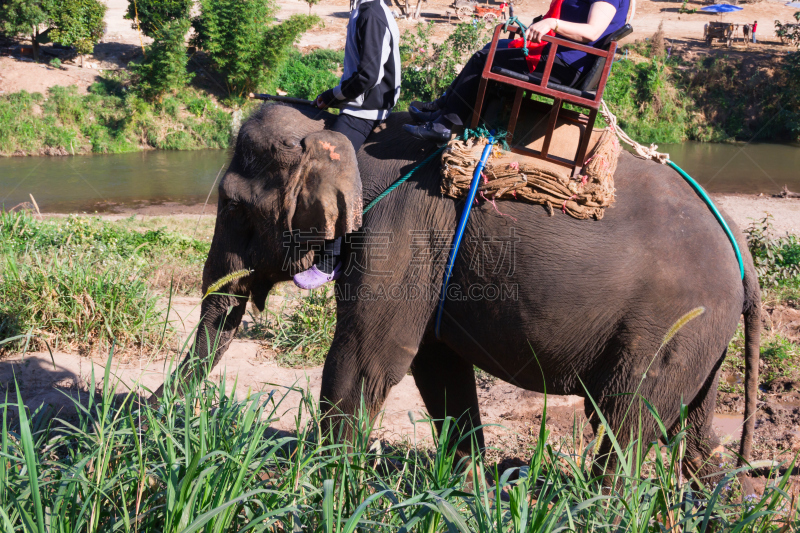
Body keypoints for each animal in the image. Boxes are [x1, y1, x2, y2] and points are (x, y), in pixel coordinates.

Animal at [159, 104, 760, 486]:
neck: (337, 132)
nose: (152, 415)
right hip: (702, 339)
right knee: (695, 431)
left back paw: (599, 505)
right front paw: (463, 487)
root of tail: (745, 259)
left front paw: (317, 483)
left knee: (624, 424)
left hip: (669, 327)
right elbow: (436, 365)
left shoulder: (399, 229)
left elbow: (370, 359)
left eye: (234, 207)